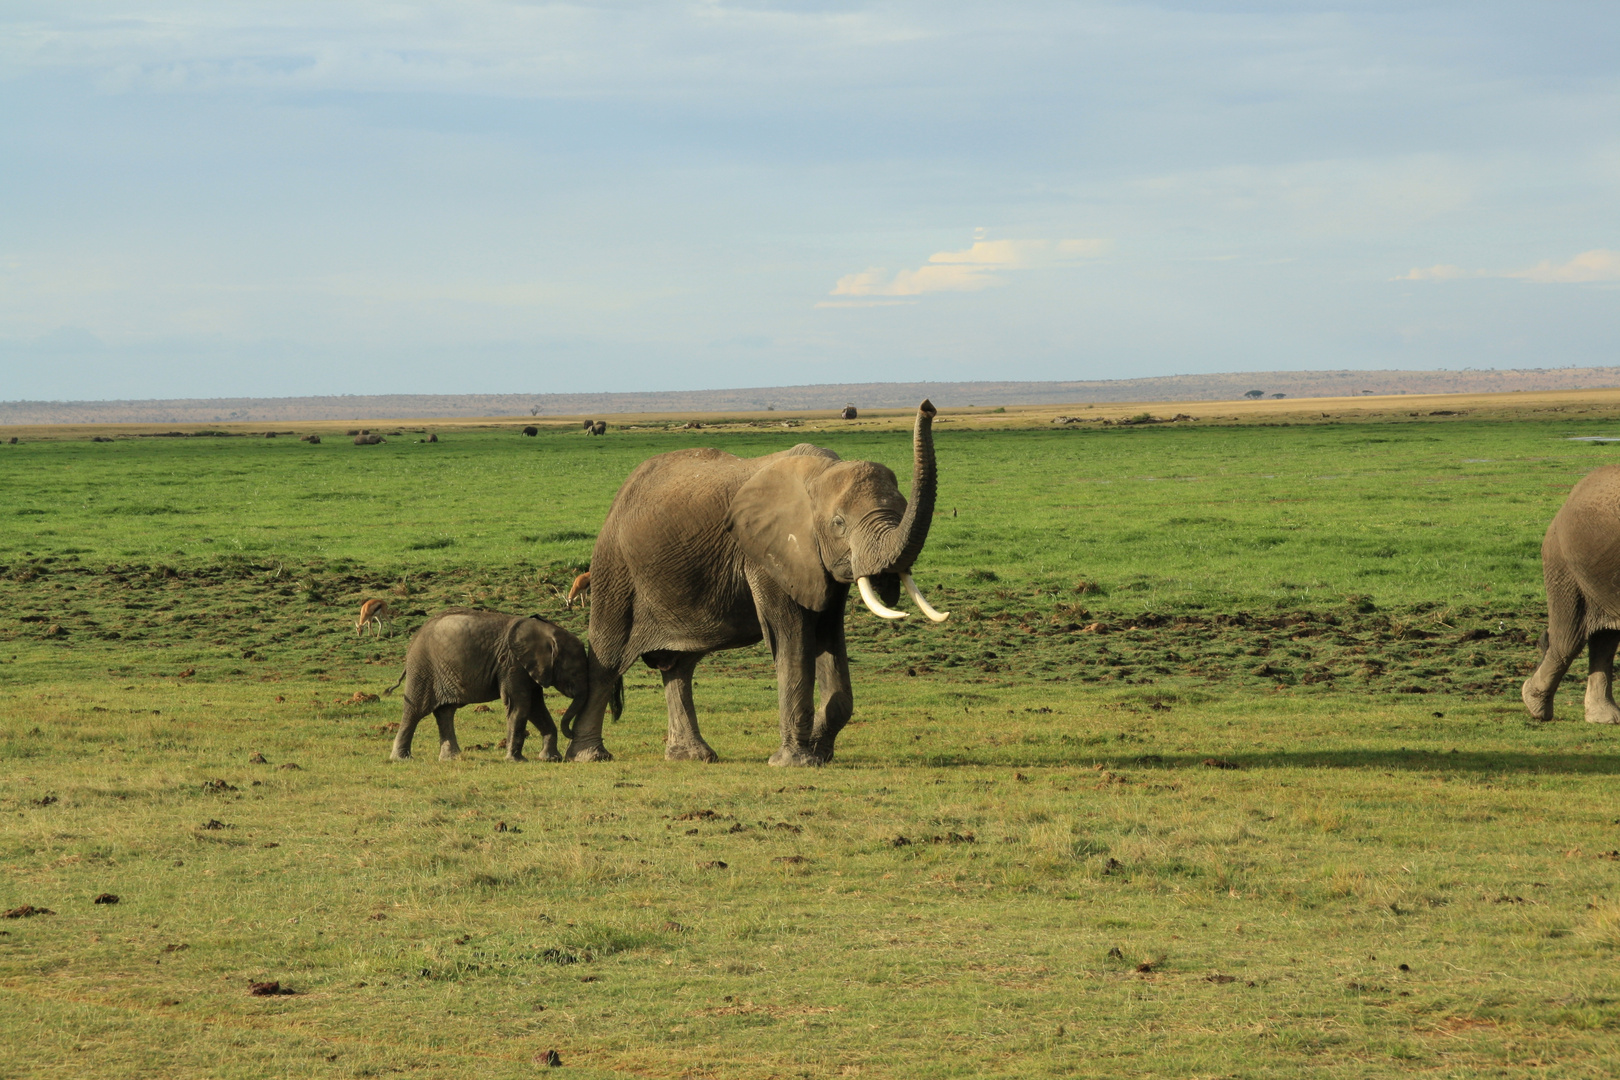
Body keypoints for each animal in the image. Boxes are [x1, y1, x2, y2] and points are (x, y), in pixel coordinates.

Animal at [383, 608, 589, 761]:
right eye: (574, 672)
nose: (572, 735)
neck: (546, 631)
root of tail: (414, 640)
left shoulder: (530, 669)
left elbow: (536, 707)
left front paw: (551, 758)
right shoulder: (512, 664)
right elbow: (520, 705)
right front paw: (516, 760)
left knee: (445, 711)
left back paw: (451, 758)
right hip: (423, 668)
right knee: (415, 710)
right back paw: (401, 758)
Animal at [567, 401, 946, 764]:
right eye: (839, 523)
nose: (928, 406)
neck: (818, 475)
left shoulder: (819, 565)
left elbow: (829, 639)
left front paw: (819, 752)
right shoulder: (766, 557)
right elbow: (791, 640)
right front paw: (795, 761)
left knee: (679, 666)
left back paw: (693, 756)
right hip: (616, 569)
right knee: (607, 660)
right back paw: (589, 756)